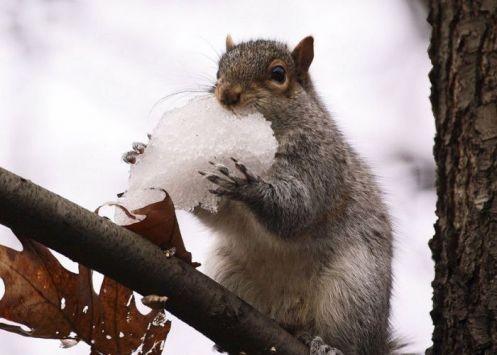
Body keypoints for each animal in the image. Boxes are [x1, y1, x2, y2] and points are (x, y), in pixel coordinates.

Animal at [125, 34, 396, 354]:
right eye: (218, 72)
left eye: (278, 74)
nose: (226, 94)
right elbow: (221, 214)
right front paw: (145, 155)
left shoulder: (320, 163)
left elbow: (298, 208)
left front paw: (246, 187)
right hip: (231, 270)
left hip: (353, 291)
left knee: (351, 339)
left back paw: (325, 345)